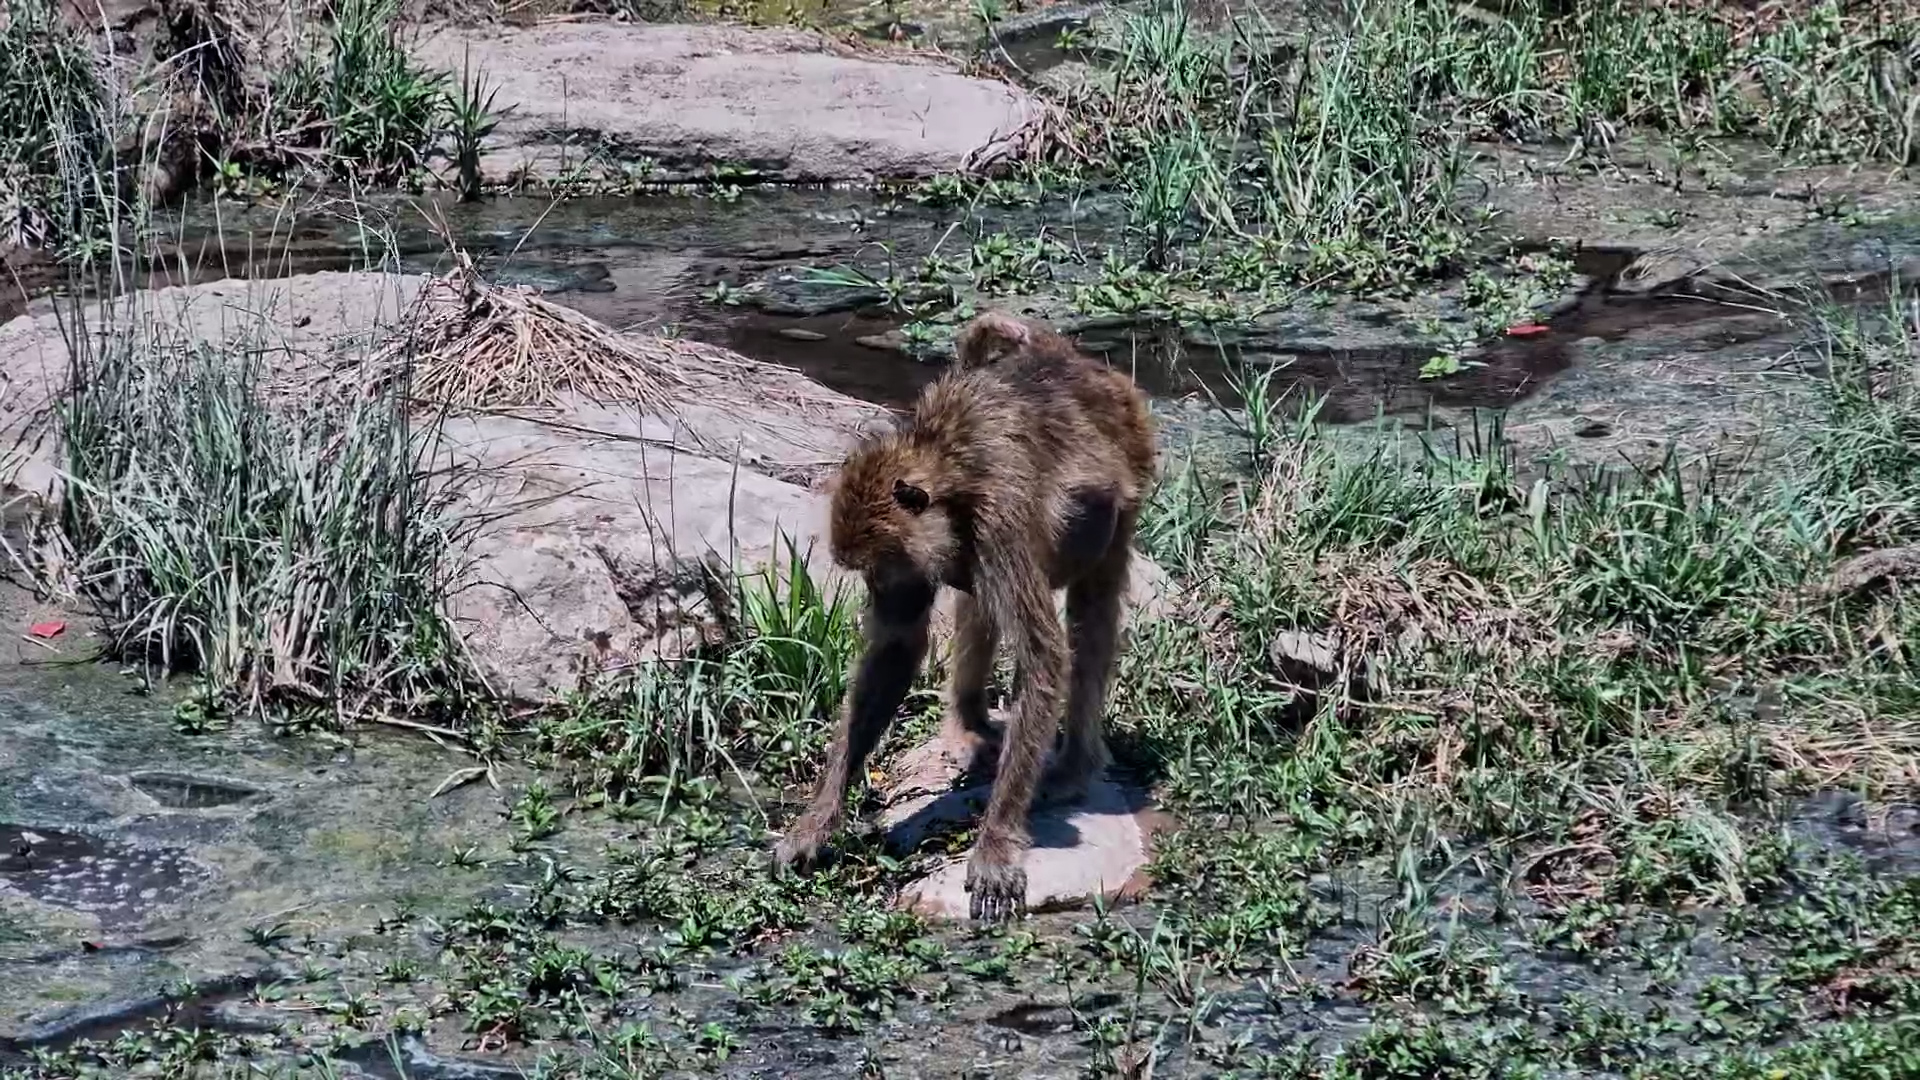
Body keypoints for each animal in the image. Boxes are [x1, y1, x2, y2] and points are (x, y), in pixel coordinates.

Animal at [773, 312, 1157, 923]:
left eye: (881, 565)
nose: (880, 592)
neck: (946, 469)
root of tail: (1082, 367)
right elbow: (895, 651)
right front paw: (818, 820)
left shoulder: (999, 523)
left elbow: (1044, 654)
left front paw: (996, 844)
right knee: (979, 601)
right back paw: (970, 722)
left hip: (1131, 460)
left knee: (1088, 619)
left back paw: (1074, 766)